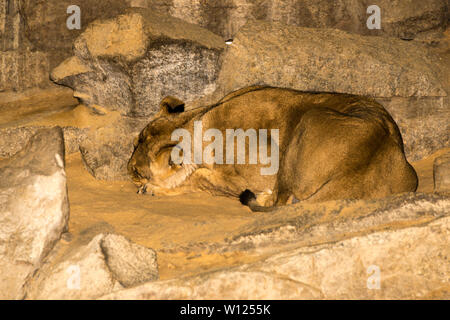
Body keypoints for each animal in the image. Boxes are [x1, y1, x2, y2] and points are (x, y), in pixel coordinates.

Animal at [127, 86, 418, 211]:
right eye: (133, 143)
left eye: (138, 172)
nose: (128, 170)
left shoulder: (263, 168)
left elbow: (199, 178)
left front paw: (152, 188)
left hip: (308, 120)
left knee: (281, 200)